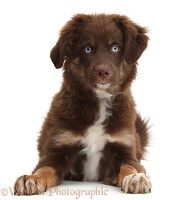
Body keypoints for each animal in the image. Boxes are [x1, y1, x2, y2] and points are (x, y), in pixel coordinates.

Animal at [14, 14, 152, 195]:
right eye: (87, 49)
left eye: (115, 48)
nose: (102, 72)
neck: (99, 102)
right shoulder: (58, 148)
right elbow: (44, 169)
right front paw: (31, 179)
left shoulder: (125, 149)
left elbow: (130, 167)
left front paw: (136, 178)